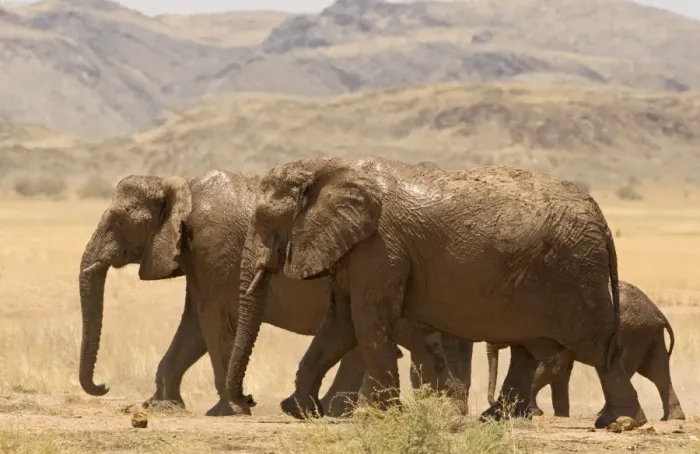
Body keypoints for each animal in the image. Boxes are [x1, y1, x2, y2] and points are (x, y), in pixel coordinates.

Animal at [77, 166, 473, 417]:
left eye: (116, 221)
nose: (104, 386)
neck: (179, 185)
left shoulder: (213, 251)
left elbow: (212, 323)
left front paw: (227, 411)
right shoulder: (199, 260)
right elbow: (192, 329)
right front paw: (163, 406)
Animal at [224, 156, 647, 430]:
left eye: (265, 221)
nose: (248, 400)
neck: (325, 166)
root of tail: (602, 219)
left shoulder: (380, 250)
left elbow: (367, 323)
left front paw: (381, 416)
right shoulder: (357, 250)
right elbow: (339, 324)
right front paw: (297, 410)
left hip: (574, 273)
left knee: (597, 347)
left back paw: (621, 421)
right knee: (530, 350)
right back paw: (494, 419)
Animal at [485, 280, 685, 421]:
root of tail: (658, 313)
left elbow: (553, 368)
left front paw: (535, 413)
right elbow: (561, 371)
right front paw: (561, 415)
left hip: (633, 334)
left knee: (628, 370)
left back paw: (603, 415)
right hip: (647, 335)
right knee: (657, 372)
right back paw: (673, 418)